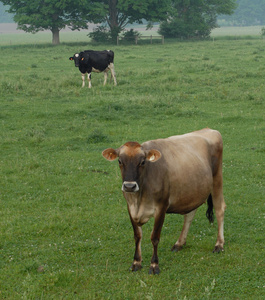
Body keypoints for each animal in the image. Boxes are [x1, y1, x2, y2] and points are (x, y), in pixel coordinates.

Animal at [101, 127, 225, 274]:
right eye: (120, 161)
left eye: (143, 162)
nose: (129, 186)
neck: (139, 199)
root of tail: (209, 129)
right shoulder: (130, 207)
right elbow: (137, 236)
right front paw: (136, 262)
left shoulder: (161, 207)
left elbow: (155, 237)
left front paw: (154, 265)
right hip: (193, 190)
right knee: (190, 214)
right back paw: (179, 243)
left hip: (217, 179)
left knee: (220, 209)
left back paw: (219, 244)